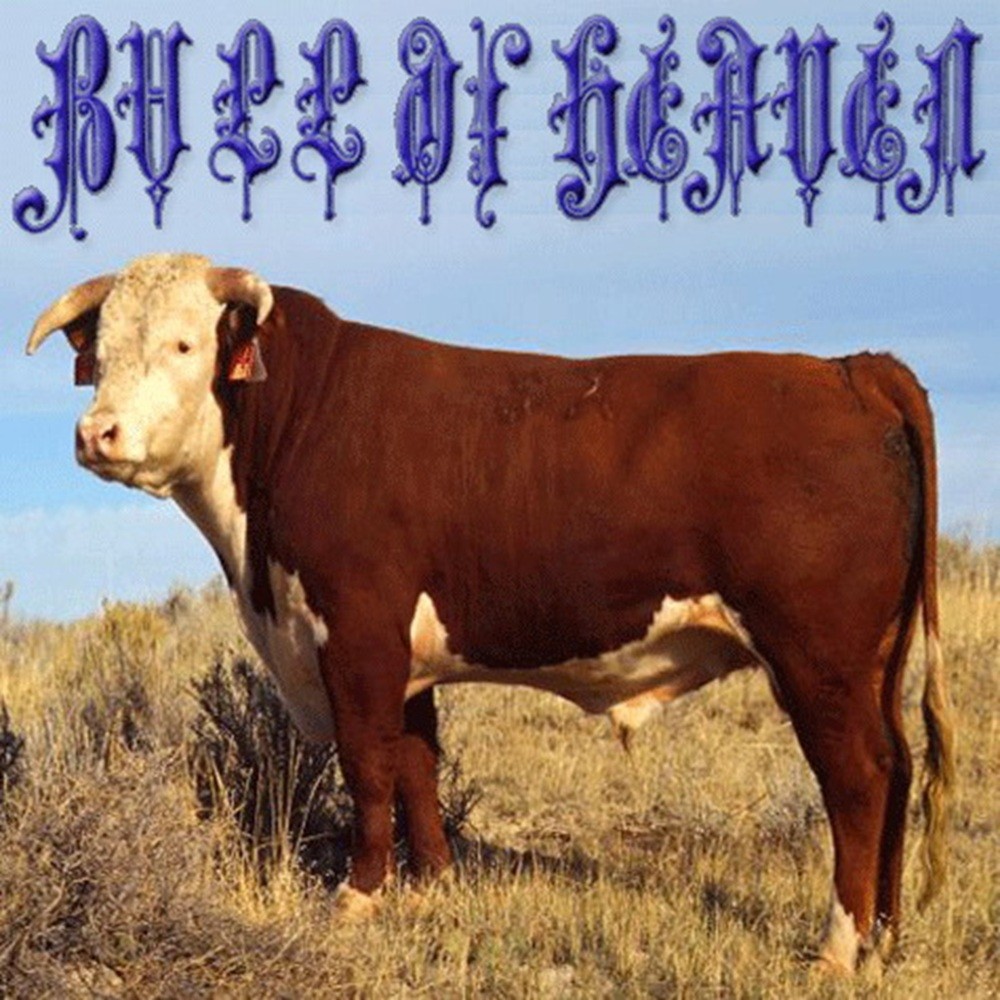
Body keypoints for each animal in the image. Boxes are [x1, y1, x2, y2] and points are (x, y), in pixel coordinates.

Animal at [27, 252, 954, 972]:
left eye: (184, 343)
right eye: (99, 351)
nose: (97, 434)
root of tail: (850, 368)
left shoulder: (357, 632)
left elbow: (368, 767)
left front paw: (358, 898)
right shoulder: (401, 655)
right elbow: (417, 766)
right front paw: (431, 886)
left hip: (817, 655)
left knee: (859, 777)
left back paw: (839, 945)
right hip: (875, 658)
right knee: (901, 764)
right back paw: (887, 936)